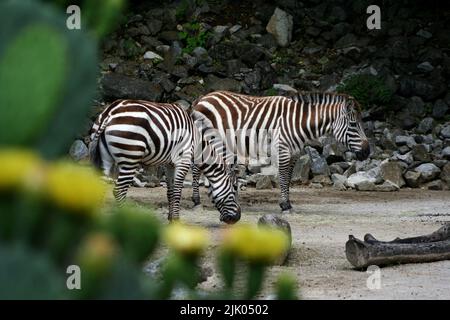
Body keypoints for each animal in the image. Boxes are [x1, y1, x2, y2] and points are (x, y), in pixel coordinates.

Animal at [89, 99, 241, 224]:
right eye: (234, 188)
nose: (238, 217)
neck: (197, 142)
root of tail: (109, 112)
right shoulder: (183, 160)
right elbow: (178, 191)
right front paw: (177, 220)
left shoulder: (169, 164)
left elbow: (171, 191)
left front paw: (170, 218)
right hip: (130, 158)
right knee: (119, 191)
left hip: (105, 159)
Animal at [190, 90, 370, 212]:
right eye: (353, 125)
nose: (367, 152)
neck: (298, 122)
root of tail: (203, 97)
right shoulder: (283, 149)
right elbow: (283, 178)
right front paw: (284, 205)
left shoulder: (294, 153)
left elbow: (288, 178)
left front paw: (287, 202)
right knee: (196, 168)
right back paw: (197, 200)